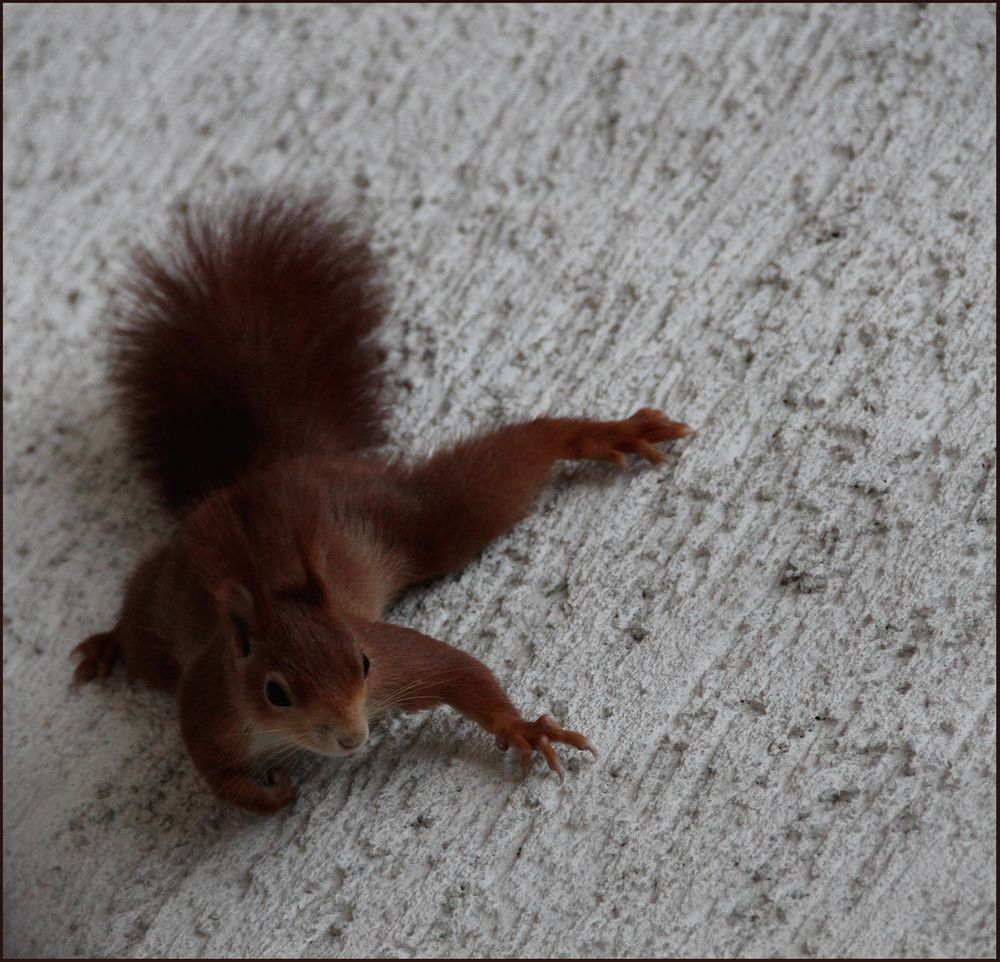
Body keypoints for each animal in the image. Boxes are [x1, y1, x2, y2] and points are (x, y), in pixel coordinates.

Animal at [72, 191, 696, 812]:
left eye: (363, 664)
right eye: (276, 692)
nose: (354, 738)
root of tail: (271, 469)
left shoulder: (388, 656)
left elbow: (456, 669)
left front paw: (522, 728)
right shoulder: (208, 705)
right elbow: (217, 776)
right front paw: (273, 796)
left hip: (405, 514)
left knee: (502, 470)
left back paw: (594, 435)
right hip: (170, 603)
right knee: (142, 623)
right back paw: (108, 644)